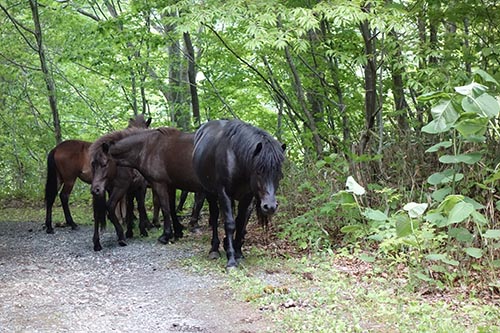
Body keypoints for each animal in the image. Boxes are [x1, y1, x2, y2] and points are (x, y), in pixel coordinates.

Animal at [191, 118, 286, 268]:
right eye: (259, 171)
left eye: (279, 174)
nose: (270, 206)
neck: (236, 158)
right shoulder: (224, 193)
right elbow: (230, 224)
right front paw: (231, 261)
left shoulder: (247, 197)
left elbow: (241, 223)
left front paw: (238, 253)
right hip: (210, 192)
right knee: (214, 216)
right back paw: (214, 249)